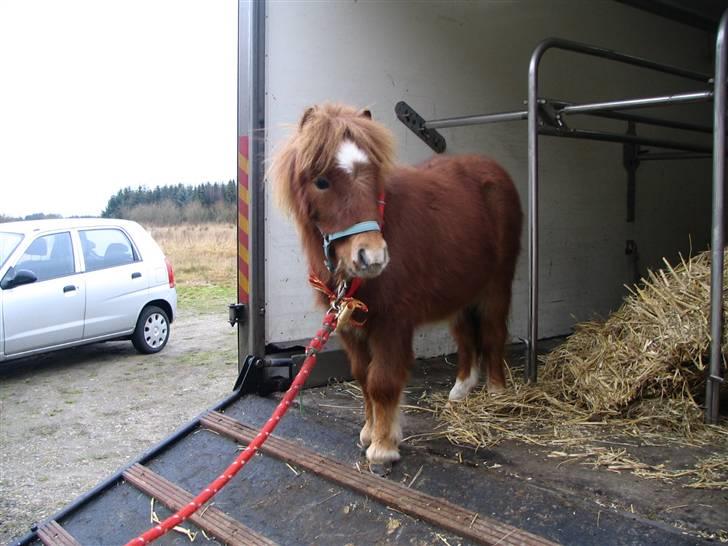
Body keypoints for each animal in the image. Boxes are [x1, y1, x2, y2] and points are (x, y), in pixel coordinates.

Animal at [270, 103, 520, 464]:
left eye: (374, 176)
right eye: (321, 181)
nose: (371, 256)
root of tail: (492, 169)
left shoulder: (392, 322)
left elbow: (382, 381)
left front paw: (383, 447)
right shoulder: (350, 327)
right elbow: (363, 377)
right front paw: (369, 432)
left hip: (496, 286)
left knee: (492, 333)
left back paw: (497, 392)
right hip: (461, 291)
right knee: (465, 337)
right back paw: (461, 389)